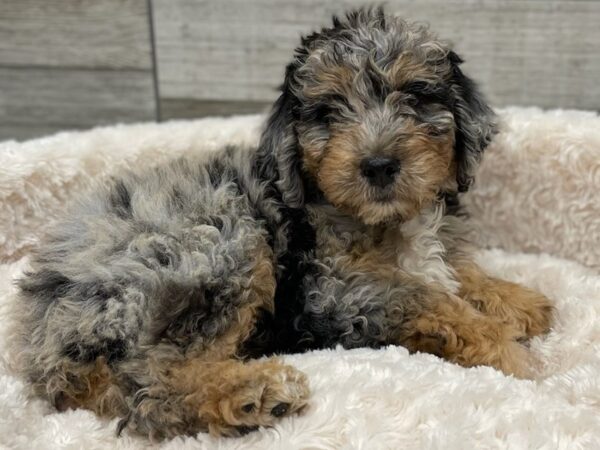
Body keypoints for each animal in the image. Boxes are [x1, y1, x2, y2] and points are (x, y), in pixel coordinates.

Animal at [11, 7, 552, 442]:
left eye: (417, 96)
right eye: (328, 111)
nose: (378, 165)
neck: (384, 219)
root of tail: (41, 324)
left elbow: (457, 272)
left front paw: (519, 301)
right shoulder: (334, 290)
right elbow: (429, 297)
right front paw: (512, 353)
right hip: (214, 249)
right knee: (153, 383)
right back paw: (253, 392)